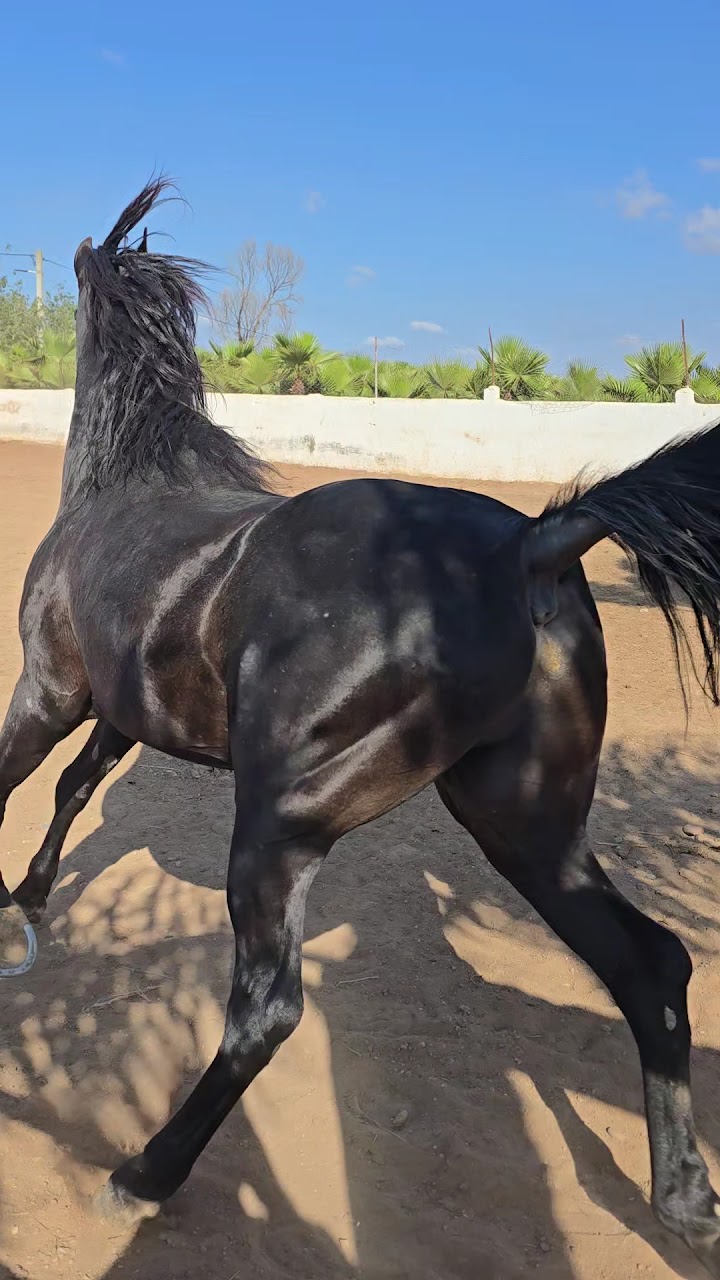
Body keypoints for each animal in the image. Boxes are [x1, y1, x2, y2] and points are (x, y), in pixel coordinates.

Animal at [2, 179, 720, 1274]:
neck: (122, 491)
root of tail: (529, 542)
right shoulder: (120, 714)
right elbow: (74, 791)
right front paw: (32, 898)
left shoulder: (48, 694)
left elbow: (13, 778)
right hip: (526, 824)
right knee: (654, 966)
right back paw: (683, 1198)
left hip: (281, 829)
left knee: (267, 1012)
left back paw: (139, 1178)